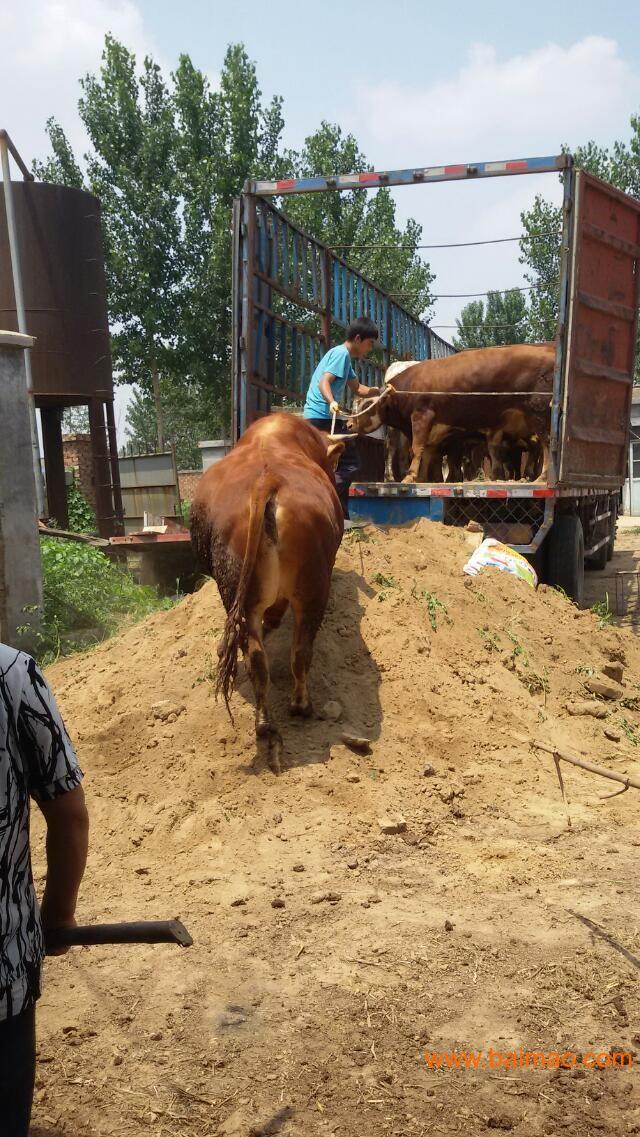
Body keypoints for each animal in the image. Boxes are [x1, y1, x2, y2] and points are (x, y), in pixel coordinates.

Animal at [192, 413, 345, 768]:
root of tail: (268, 480)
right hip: (313, 591)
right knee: (300, 651)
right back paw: (301, 706)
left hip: (242, 597)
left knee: (256, 657)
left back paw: (264, 723)